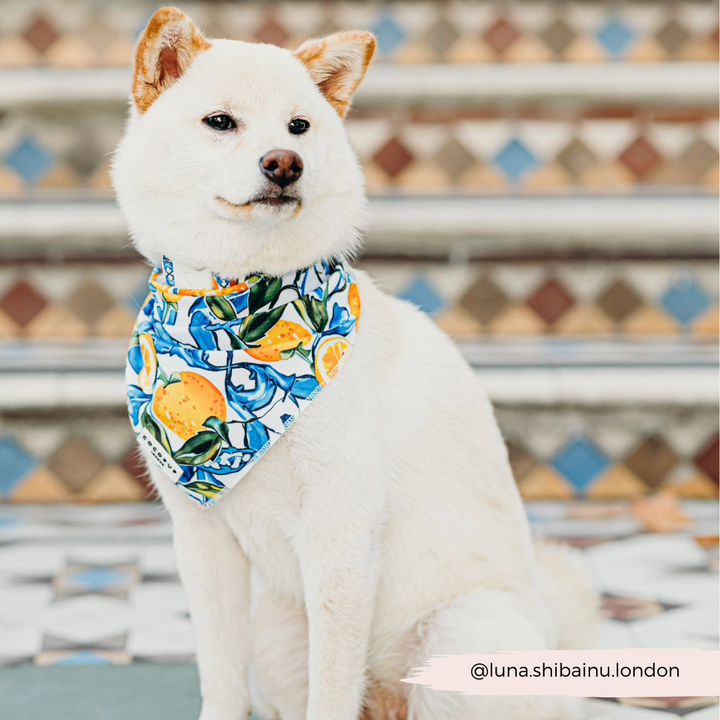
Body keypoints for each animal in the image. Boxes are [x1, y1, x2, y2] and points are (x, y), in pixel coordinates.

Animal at [112, 7, 596, 720]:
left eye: (299, 127)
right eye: (220, 121)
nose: (284, 164)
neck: (233, 303)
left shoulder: (340, 536)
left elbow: (332, 687)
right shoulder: (203, 540)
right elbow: (221, 676)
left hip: (459, 638)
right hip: (275, 631)